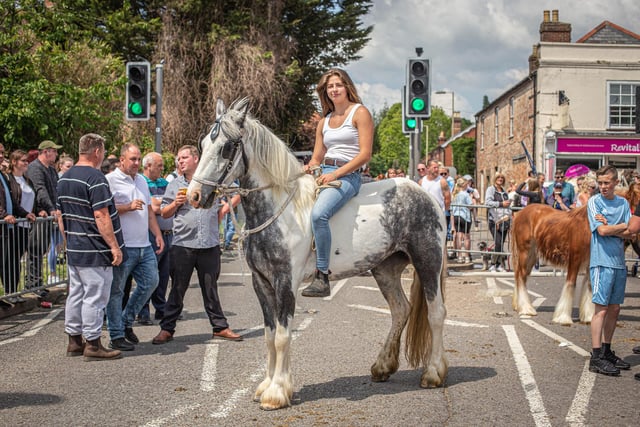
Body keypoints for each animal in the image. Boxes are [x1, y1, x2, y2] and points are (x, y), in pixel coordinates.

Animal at [188, 98, 448, 412]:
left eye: (227, 147)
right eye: (203, 144)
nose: (194, 196)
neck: (280, 211)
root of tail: (426, 195)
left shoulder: (285, 282)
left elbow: (282, 336)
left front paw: (277, 392)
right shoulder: (261, 282)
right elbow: (269, 336)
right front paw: (266, 385)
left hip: (428, 261)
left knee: (436, 313)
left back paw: (433, 374)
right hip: (385, 268)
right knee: (400, 309)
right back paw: (383, 367)